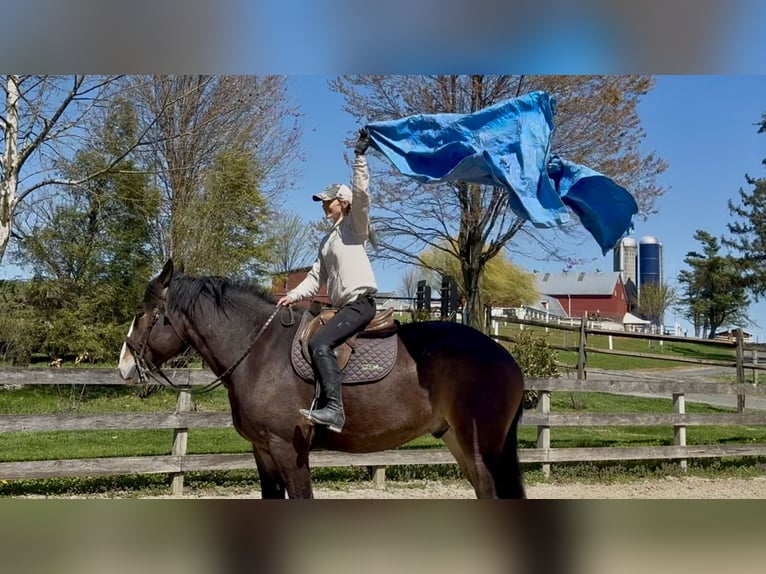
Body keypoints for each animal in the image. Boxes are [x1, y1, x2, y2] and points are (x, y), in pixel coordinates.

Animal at [118, 259, 526, 499]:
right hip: (458, 441)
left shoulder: (288, 449)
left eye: (143, 312)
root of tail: (506, 358)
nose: (124, 367)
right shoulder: (263, 452)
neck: (257, 351)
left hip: (479, 449)